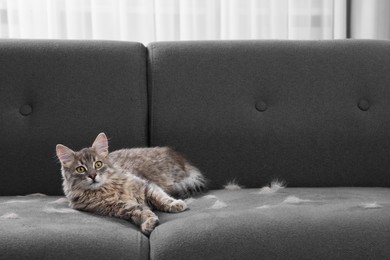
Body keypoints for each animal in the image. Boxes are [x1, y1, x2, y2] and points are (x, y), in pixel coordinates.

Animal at [56, 133, 207, 235]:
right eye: (80, 169)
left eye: (98, 164)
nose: (93, 176)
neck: (106, 189)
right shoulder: (123, 207)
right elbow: (143, 212)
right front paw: (149, 223)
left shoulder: (147, 186)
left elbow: (161, 198)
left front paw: (174, 204)